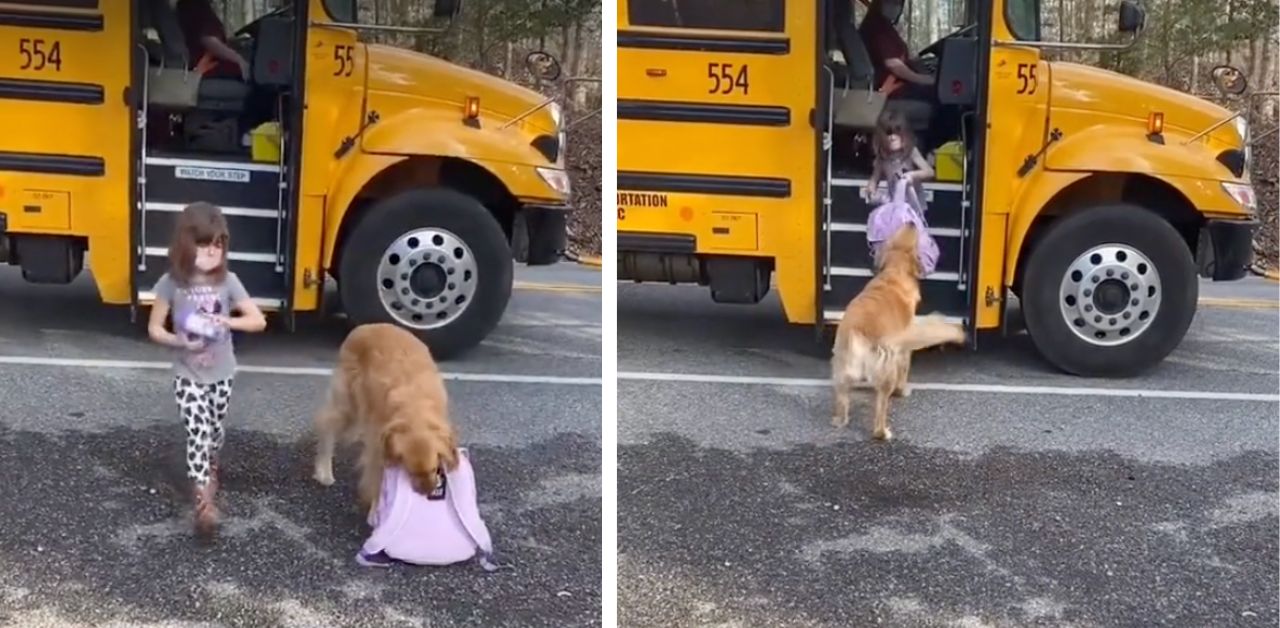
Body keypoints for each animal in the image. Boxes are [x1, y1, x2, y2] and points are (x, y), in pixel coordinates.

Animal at [311, 327, 460, 509]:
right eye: (410, 471)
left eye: (434, 469)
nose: (426, 492)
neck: (414, 406)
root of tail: (366, 327)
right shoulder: (378, 448)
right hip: (348, 401)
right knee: (326, 424)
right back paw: (324, 471)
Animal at [834, 223, 962, 439]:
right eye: (914, 244)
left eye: (895, 235)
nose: (911, 222)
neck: (894, 272)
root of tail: (858, 331)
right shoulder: (904, 346)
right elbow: (905, 368)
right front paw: (903, 390)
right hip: (886, 368)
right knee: (880, 410)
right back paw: (883, 432)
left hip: (842, 367)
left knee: (843, 399)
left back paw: (840, 420)